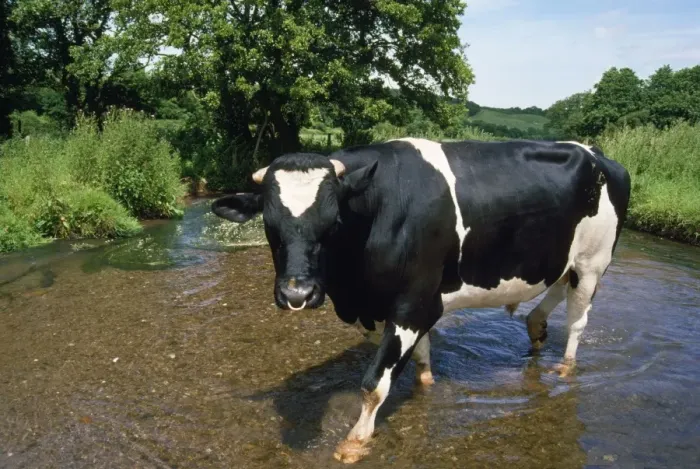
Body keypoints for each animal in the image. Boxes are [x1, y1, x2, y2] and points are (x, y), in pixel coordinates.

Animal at [211, 137, 631, 463]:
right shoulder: (397, 304)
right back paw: (536, 326)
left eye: (333, 222)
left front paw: (355, 442)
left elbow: (375, 382)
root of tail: (596, 153)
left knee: (578, 318)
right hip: (564, 257)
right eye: (269, 225)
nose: (297, 294)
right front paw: (427, 383)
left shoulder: (411, 303)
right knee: (558, 287)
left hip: (593, 260)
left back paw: (566, 366)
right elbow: (422, 355)